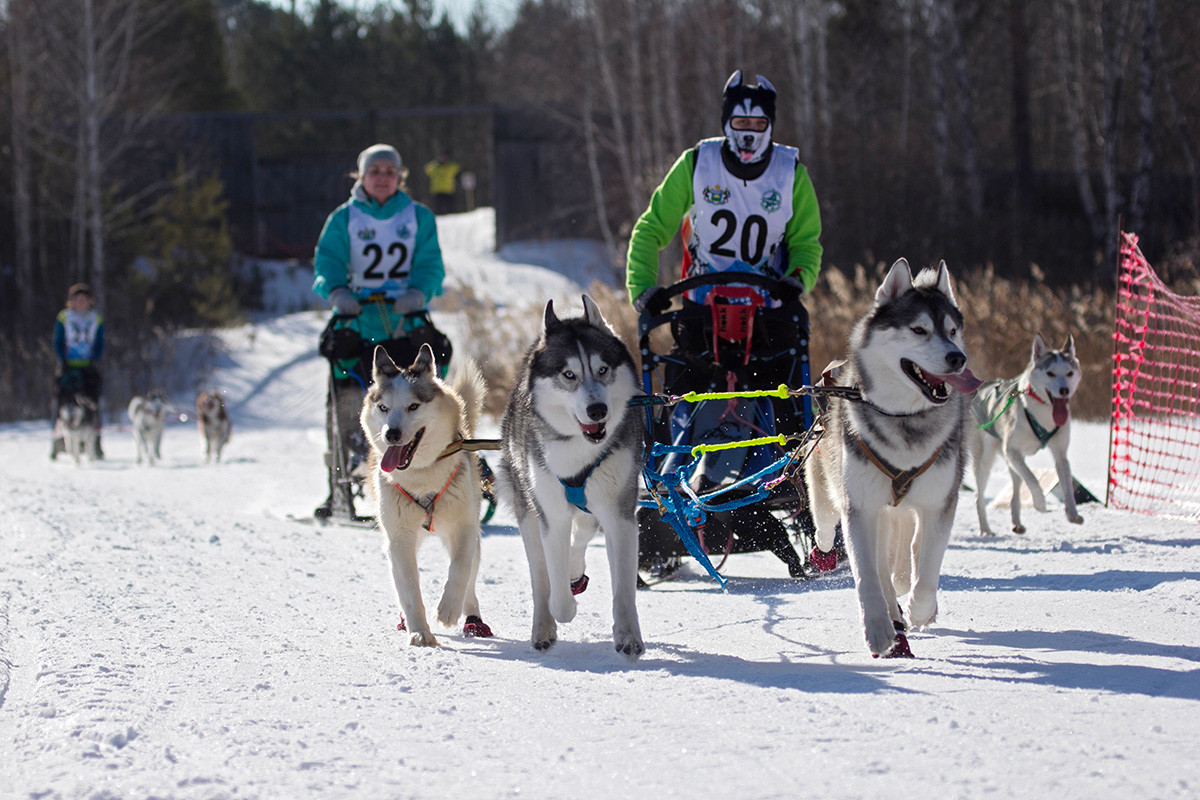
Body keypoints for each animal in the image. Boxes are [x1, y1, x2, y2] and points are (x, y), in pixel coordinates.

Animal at [355, 345, 492, 652]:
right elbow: (408, 586)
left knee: (470, 579)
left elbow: (460, 569)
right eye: (384, 408)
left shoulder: (464, 529)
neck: (422, 476)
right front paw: (419, 632)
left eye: (413, 407)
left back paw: (473, 618)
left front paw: (448, 609)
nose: (391, 434)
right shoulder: (399, 540)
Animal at [496, 293, 648, 657]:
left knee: (581, 537)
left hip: (594, 509)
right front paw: (563, 609)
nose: (598, 410)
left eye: (603, 370)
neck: (578, 448)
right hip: (528, 510)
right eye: (569, 374)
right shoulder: (552, 515)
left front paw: (628, 636)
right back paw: (543, 627)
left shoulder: (619, 514)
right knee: (540, 577)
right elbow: (558, 595)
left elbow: (624, 588)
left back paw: (575, 572)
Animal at [806, 260, 984, 662]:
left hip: (901, 513)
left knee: (906, 559)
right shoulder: (860, 509)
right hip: (834, 494)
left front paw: (920, 610)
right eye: (919, 329)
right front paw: (877, 629)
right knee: (829, 527)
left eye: (952, 331)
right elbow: (867, 577)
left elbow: (927, 569)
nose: (958, 358)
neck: (905, 419)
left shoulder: (939, 505)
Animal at [969, 335, 1084, 534]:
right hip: (986, 460)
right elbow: (1033, 479)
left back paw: (1016, 522)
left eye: (1069, 373)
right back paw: (985, 529)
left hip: (1010, 462)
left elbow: (1067, 484)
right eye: (1050, 373)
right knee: (980, 496)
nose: (1064, 390)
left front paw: (1072, 513)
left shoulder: (1060, 454)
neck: (1043, 414)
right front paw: (1040, 503)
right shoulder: (1012, 451)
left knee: (1015, 488)